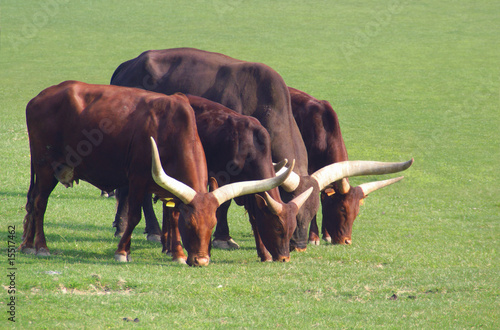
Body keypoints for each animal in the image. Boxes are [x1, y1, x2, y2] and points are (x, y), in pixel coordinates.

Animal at [21, 81, 292, 266]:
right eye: (191, 225)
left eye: (212, 224)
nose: (202, 261)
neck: (170, 128)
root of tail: (39, 97)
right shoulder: (137, 179)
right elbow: (134, 217)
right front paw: (122, 252)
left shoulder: (172, 188)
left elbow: (172, 215)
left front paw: (178, 254)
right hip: (46, 167)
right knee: (40, 203)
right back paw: (41, 246)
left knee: (32, 202)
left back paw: (26, 244)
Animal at [290, 87, 410, 245]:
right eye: (342, 208)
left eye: (357, 211)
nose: (347, 241)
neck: (324, 134)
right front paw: (314, 237)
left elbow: (323, 198)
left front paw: (326, 234)